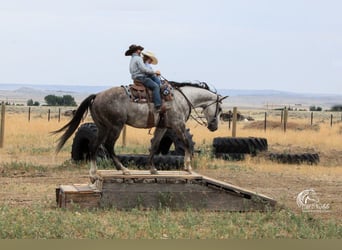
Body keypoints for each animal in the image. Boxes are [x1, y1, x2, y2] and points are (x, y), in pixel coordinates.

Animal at [54, 82, 227, 180]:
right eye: (220, 109)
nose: (214, 127)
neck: (181, 99)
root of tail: (96, 96)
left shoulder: (162, 127)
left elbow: (155, 146)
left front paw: (153, 169)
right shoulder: (178, 125)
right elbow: (186, 144)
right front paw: (188, 167)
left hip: (103, 127)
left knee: (94, 146)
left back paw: (94, 173)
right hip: (115, 126)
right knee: (108, 146)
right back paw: (123, 169)